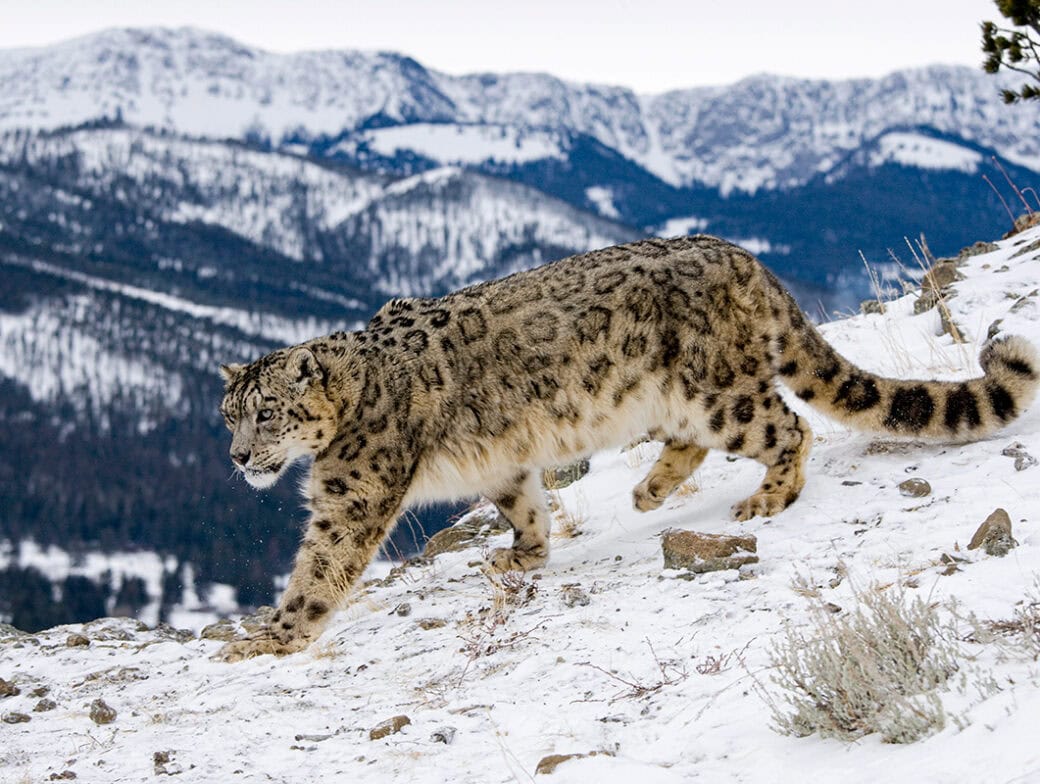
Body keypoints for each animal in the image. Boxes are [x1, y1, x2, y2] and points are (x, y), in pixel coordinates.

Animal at [217, 235, 1039, 660]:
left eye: (266, 414)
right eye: (227, 416)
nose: (236, 458)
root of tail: (739, 254)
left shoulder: (351, 492)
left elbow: (320, 564)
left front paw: (271, 637)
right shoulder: (504, 463)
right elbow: (524, 501)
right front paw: (521, 556)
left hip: (716, 391)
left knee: (787, 427)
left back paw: (766, 497)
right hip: (682, 399)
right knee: (700, 441)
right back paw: (650, 489)